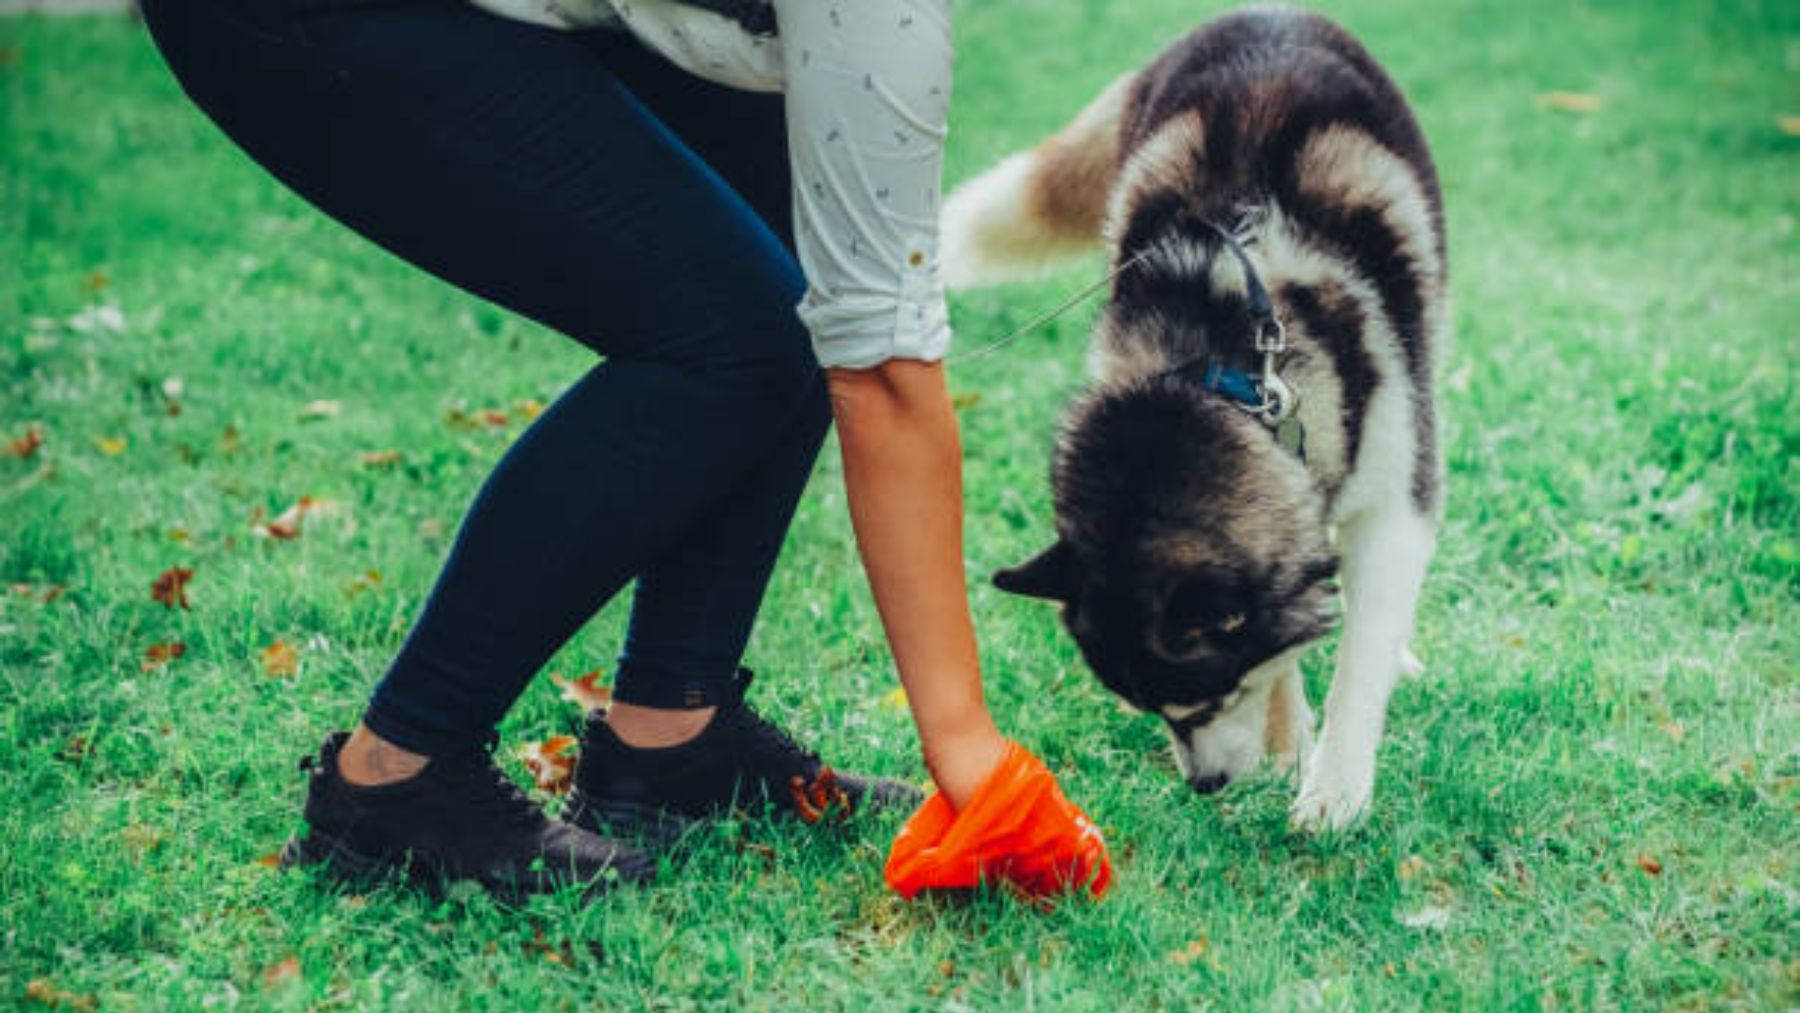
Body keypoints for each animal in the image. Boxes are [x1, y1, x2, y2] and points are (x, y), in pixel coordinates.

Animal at [950, 9, 1440, 831]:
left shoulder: (1396, 491)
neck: (1226, 366)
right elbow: (1293, 636)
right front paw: (1288, 740)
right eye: (1151, 709)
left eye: (1207, 698)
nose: (1204, 786)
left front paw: (1335, 791)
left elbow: (1362, 648)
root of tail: (1263, 11)